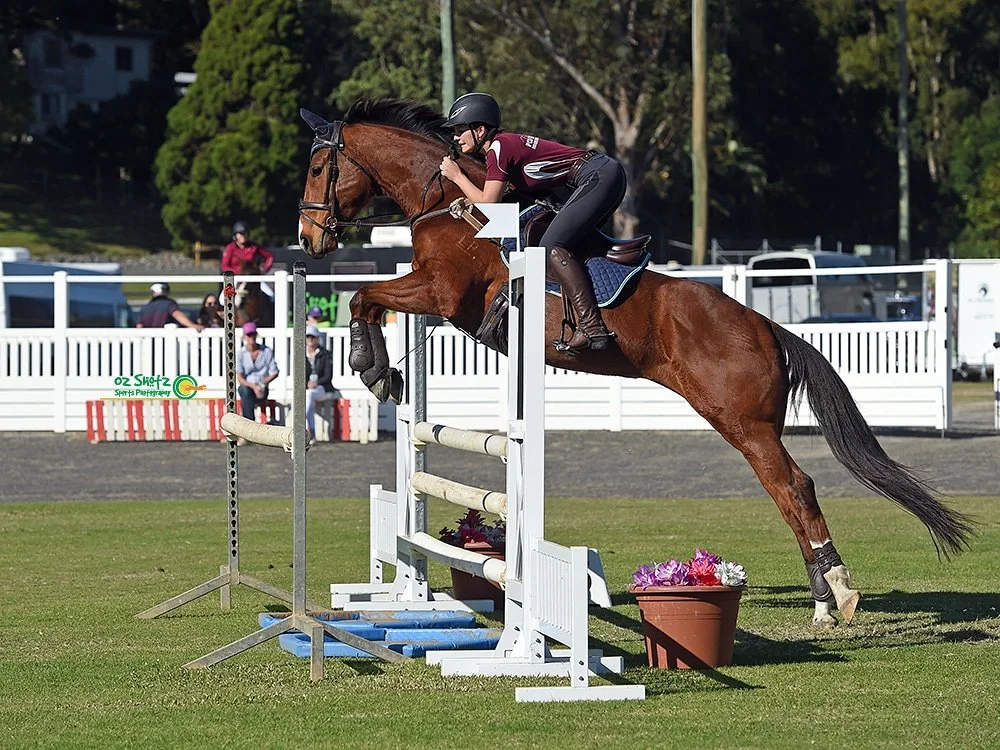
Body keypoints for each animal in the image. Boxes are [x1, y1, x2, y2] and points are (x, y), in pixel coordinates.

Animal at [295, 98, 974, 628]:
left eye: (319, 167)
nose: (308, 240)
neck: (446, 202)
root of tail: (766, 326)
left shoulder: (441, 292)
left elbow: (363, 295)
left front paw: (370, 366)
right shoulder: (436, 297)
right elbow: (367, 297)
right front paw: (384, 370)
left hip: (743, 422)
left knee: (793, 486)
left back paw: (836, 593)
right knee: (787, 490)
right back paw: (824, 598)